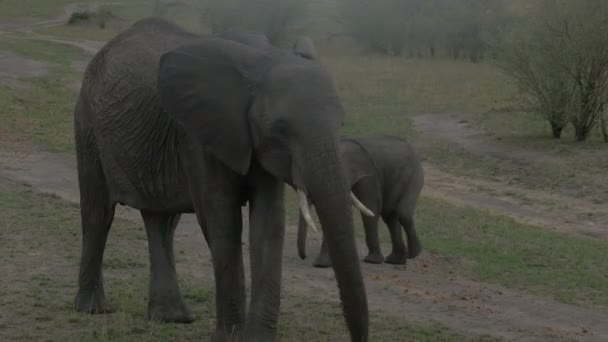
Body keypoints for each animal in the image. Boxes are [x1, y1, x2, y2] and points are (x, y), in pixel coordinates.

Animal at [75, 19, 370, 342]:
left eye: (341, 123)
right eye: (279, 129)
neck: (263, 58)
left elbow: (268, 224)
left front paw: (258, 339)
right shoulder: (201, 136)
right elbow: (223, 221)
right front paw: (230, 338)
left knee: (162, 221)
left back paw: (172, 317)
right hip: (87, 123)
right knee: (98, 214)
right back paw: (92, 309)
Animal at [298, 136, 422, 268]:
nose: (303, 257)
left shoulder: (368, 176)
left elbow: (371, 207)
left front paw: (372, 261)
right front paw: (321, 264)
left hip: (414, 175)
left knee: (403, 213)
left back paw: (413, 254)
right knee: (390, 215)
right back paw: (395, 260)